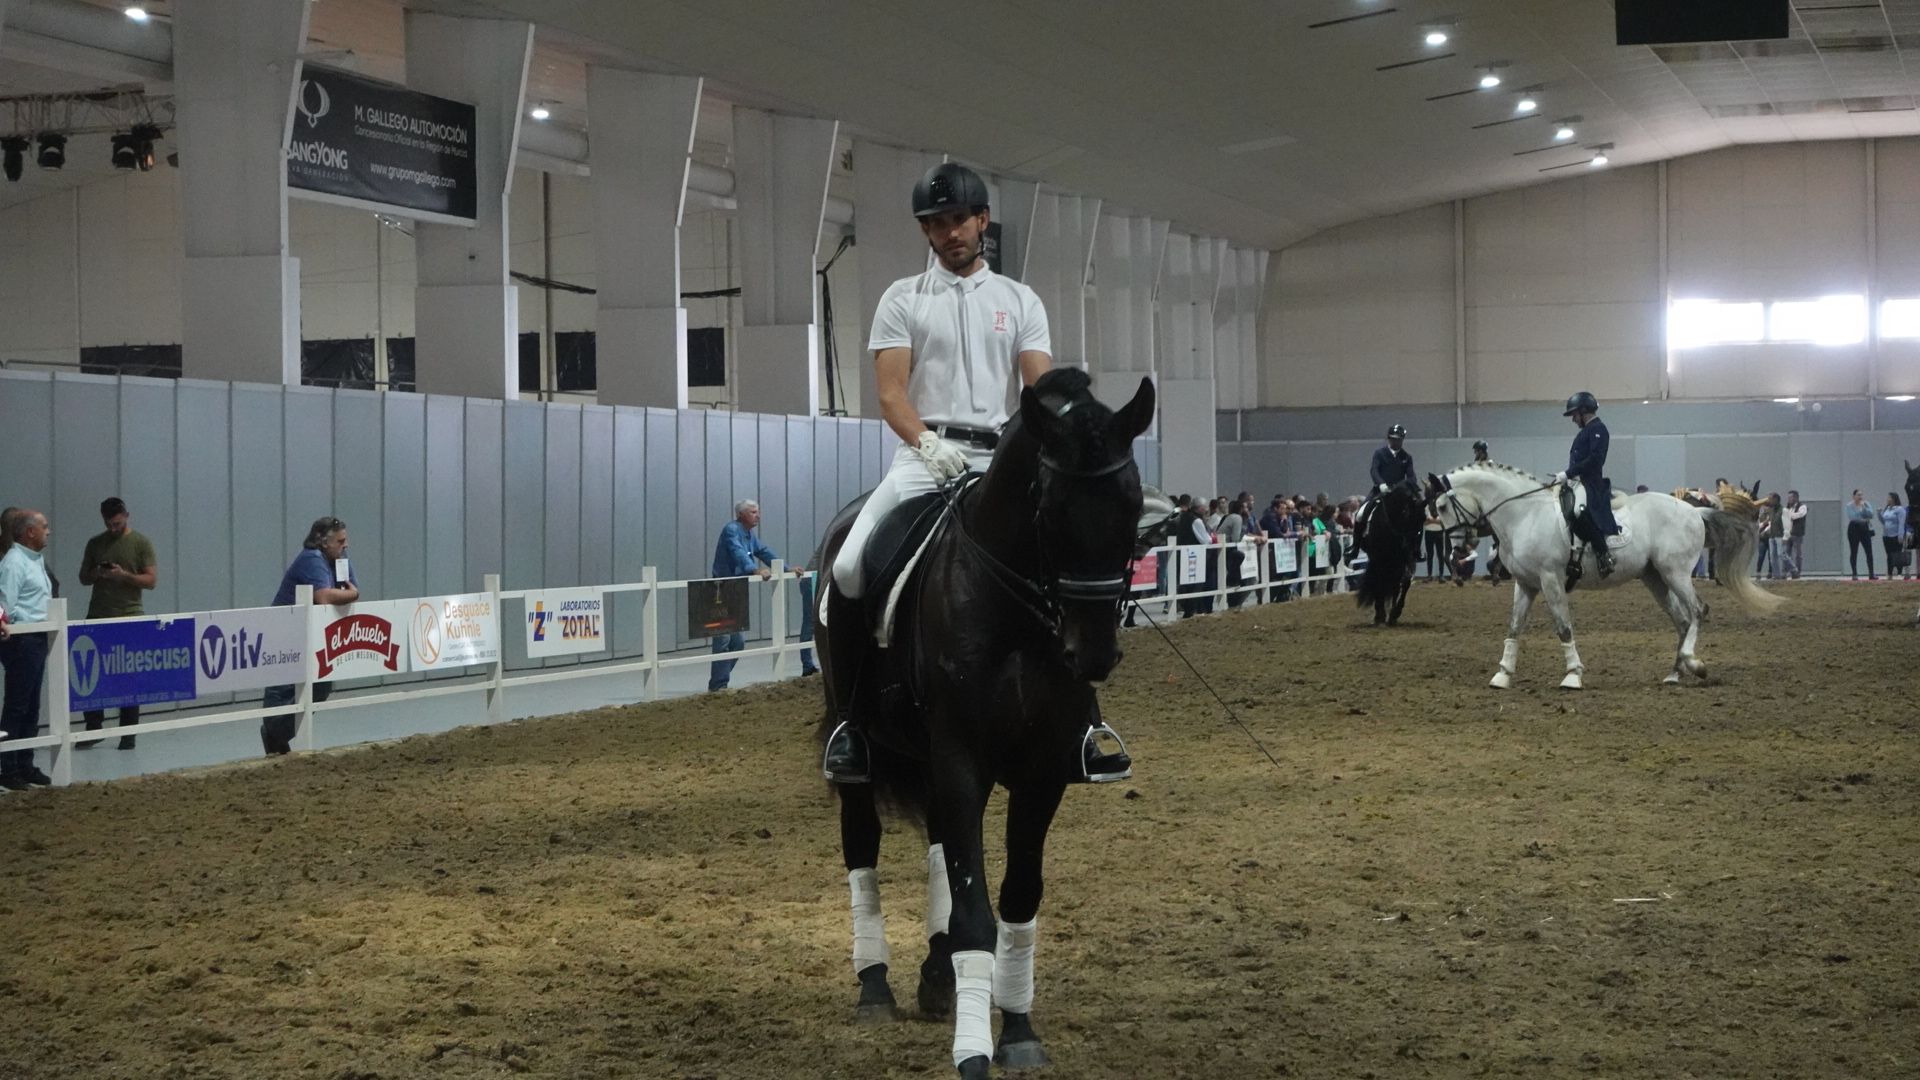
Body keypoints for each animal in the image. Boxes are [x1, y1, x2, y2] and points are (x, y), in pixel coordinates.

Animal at [814, 365, 1152, 1068]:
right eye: (1048, 508)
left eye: (1133, 505)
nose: (1093, 653)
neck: (1012, 609)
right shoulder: (961, 757)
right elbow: (974, 909)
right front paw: (974, 1050)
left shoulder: (1042, 768)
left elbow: (1016, 897)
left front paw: (1018, 1029)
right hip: (865, 748)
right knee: (861, 846)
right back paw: (875, 987)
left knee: (942, 845)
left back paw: (938, 979)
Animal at [1351, 480, 1428, 622]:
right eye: (1405, 513)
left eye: (1423, 518)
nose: (1410, 546)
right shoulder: (1377, 557)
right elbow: (1378, 580)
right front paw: (1380, 614)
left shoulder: (1405, 559)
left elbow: (1406, 580)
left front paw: (1395, 613)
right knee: (1379, 580)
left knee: (1395, 584)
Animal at [1428, 461, 1781, 680]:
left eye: (1442, 506)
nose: (1457, 551)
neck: (1524, 513)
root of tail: (1695, 511)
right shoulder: (1526, 584)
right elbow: (1514, 627)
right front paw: (1502, 674)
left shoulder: (1550, 580)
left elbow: (1563, 627)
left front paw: (1573, 675)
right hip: (1655, 577)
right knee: (1682, 620)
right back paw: (1675, 672)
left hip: (1676, 572)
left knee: (1697, 611)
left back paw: (1694, 664)